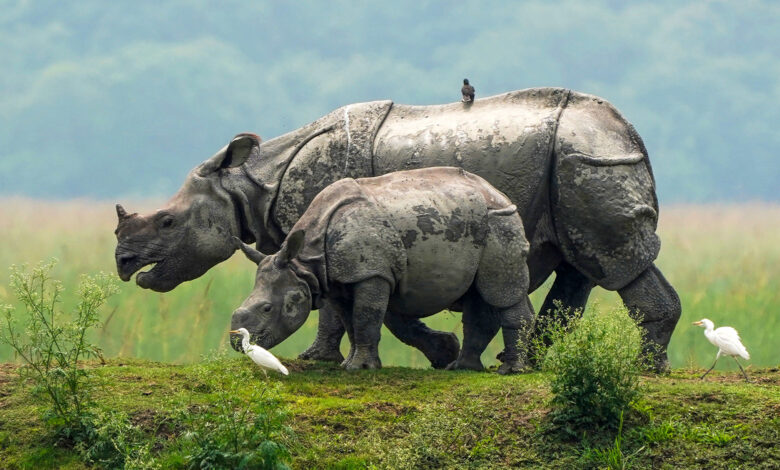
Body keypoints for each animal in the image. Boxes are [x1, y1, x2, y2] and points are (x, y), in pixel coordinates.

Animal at [230, 167, 534, 373]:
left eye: (267, 308)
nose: (237, 344)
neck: (303, 263)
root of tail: (499, 193)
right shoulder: (337, 280)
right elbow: (350, 320)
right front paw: (351, 365)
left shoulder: (371, 273)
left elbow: (366, 316)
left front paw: (360, 368)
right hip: (476, 222)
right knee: (479, 294)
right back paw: (461, 368)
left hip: (500, 222)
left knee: (500, 291)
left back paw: (510, 371)